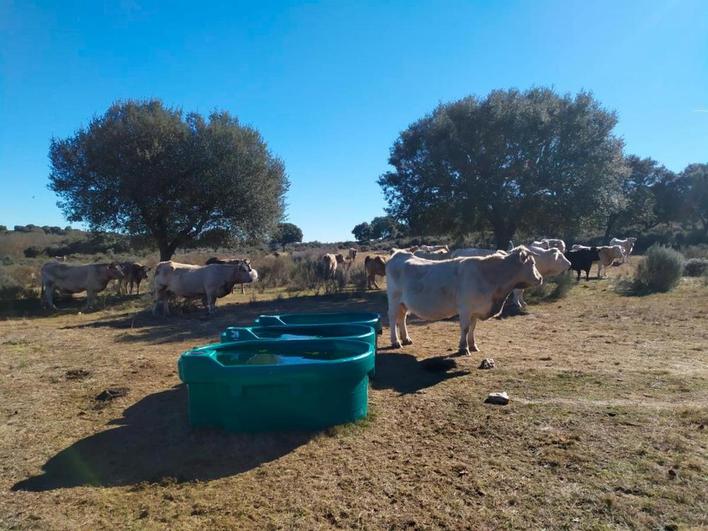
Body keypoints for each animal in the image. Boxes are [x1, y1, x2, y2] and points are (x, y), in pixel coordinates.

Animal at [388, 247, 544, 356]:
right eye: (532, 263)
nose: (540, 278)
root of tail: (400, 253)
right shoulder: (465, 309)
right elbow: (465, 328)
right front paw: (463, 348)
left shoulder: (475, 310)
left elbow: (473, 328)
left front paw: (473, 345)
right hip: (394, 300)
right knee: (393, 319)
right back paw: (396, 341)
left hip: (403, 303)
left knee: (402, 318)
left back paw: (406, 339)